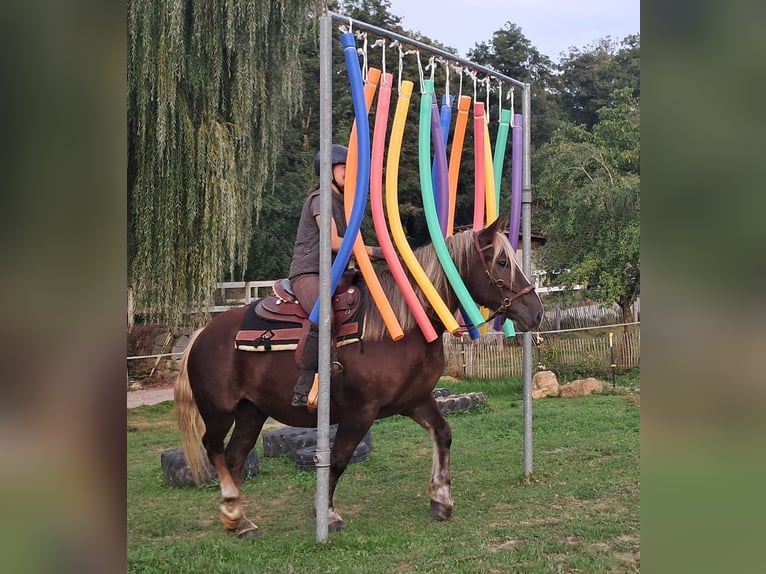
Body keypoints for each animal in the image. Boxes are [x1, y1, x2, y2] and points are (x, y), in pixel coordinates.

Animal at [174, 217, 544, 537]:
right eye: (501, 262)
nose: (536, 312)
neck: (404, 324)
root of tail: (202, 334)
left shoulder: (415, 400)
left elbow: (443, 434)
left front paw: (440, 498)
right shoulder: (360, 413)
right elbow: (337, 459)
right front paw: (328, 514)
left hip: (252, 412)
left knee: (235, 457)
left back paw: (239, 519)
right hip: (220, 412)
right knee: (214, 449)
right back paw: (232, 507)